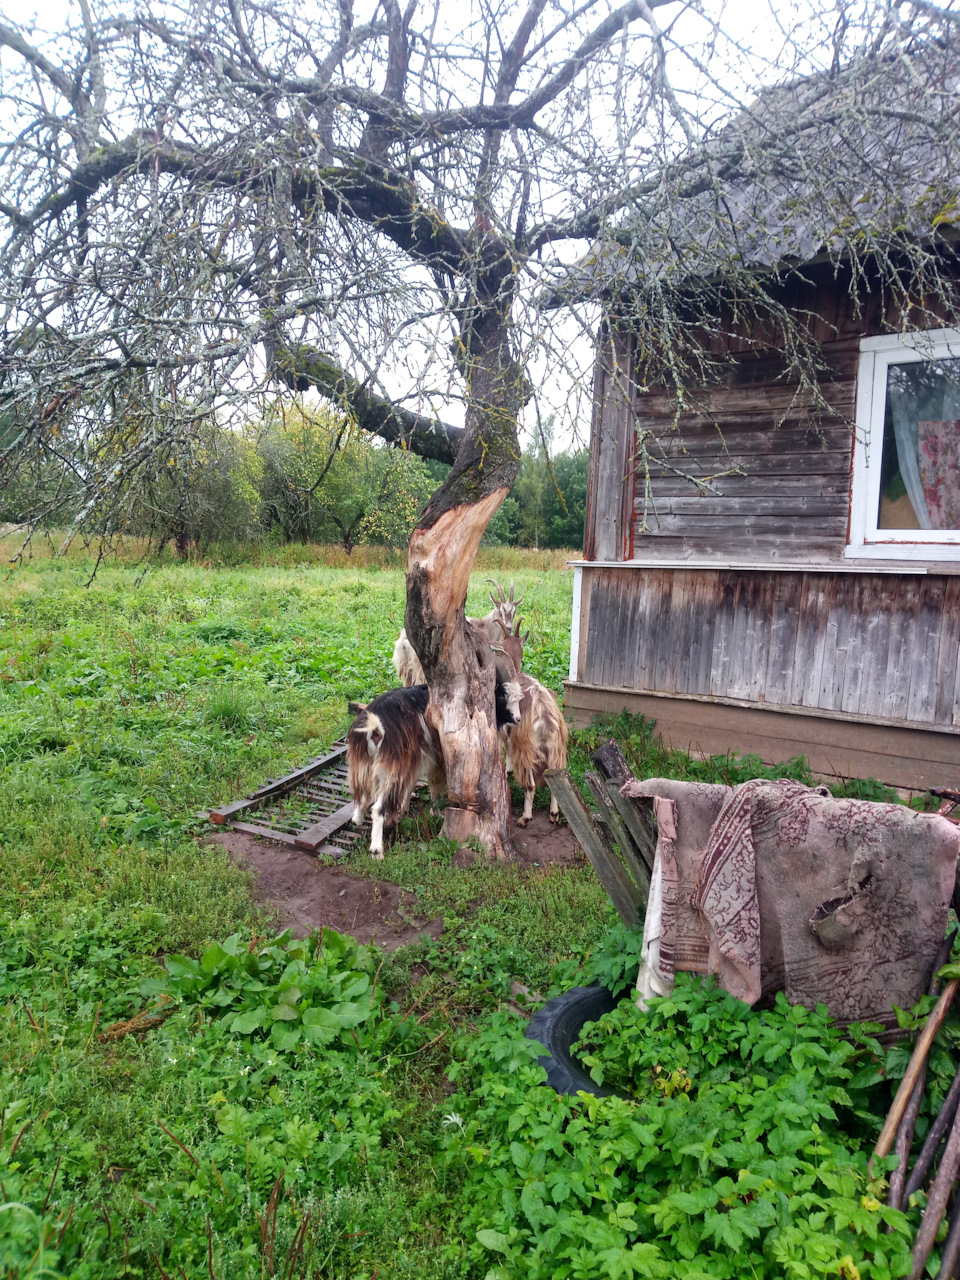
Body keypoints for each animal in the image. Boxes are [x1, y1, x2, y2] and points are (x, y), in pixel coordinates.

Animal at [350, 670, 522, 860]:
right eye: (502, 696)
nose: (517, 718)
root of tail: (375, 728)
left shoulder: (415, 760)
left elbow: (411, 785)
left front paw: (404, 810)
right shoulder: (437, 757)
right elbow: (435, 786)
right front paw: (436, 812)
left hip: (366, 766)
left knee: (362, 793)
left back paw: (357, 818)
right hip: (391, 770)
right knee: (378, 808)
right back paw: (377, 851)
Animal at [391, 578, 522, 686]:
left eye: (514, 611)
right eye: (500, 611)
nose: (509, 627)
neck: (485, 627)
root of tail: (404, 639)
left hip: (407, 669)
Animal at [496, 624, 570, 824]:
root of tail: (546, 721)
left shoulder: (508, 728)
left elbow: (506, 746)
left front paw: (508, 770)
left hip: (528, 750)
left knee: (530, 786)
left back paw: (525, 816)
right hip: (556, 751)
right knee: (555, 782)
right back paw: (554, 814)